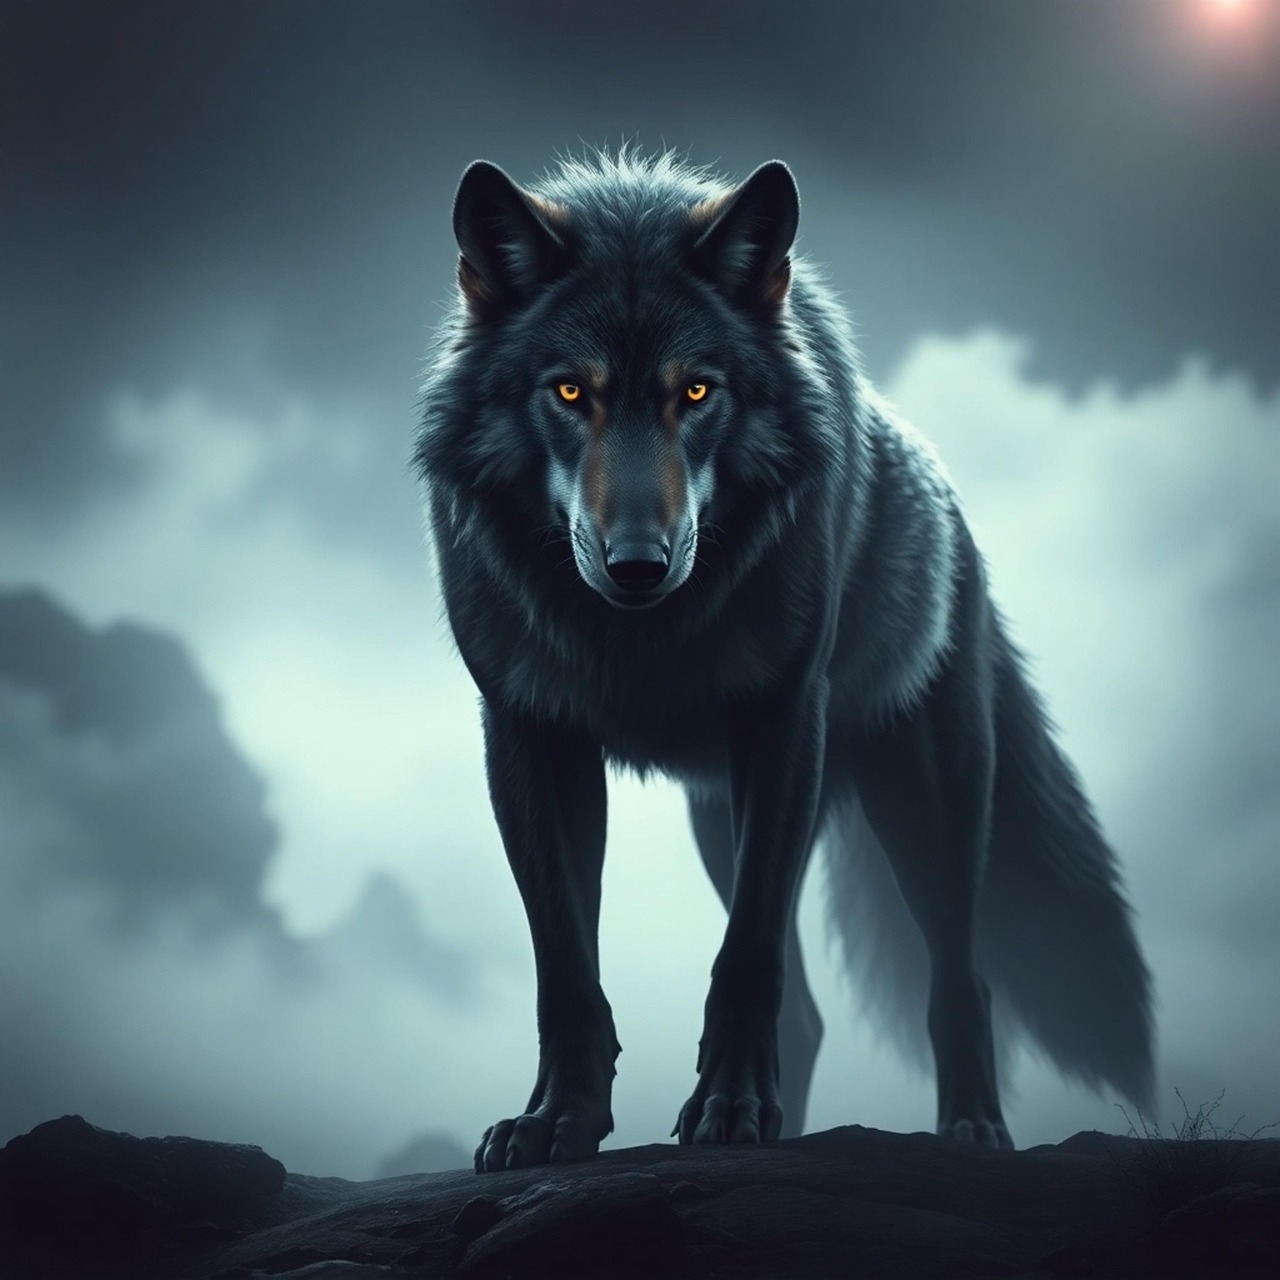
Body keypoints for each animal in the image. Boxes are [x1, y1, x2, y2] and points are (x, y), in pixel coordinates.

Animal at [415, 148, 1155, 1172]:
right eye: (571, 392)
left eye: (696, 391)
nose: (638, 564)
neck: (639, 637)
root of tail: (951, 505)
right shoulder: (530, 737)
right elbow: (565, 969)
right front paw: (558, 1122)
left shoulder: (782, 725)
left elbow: (747, 956)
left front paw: (727, 1108)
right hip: (717, 821)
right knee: (807, 1015)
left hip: (922, 800)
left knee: (960, 978)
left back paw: (971, 1134)